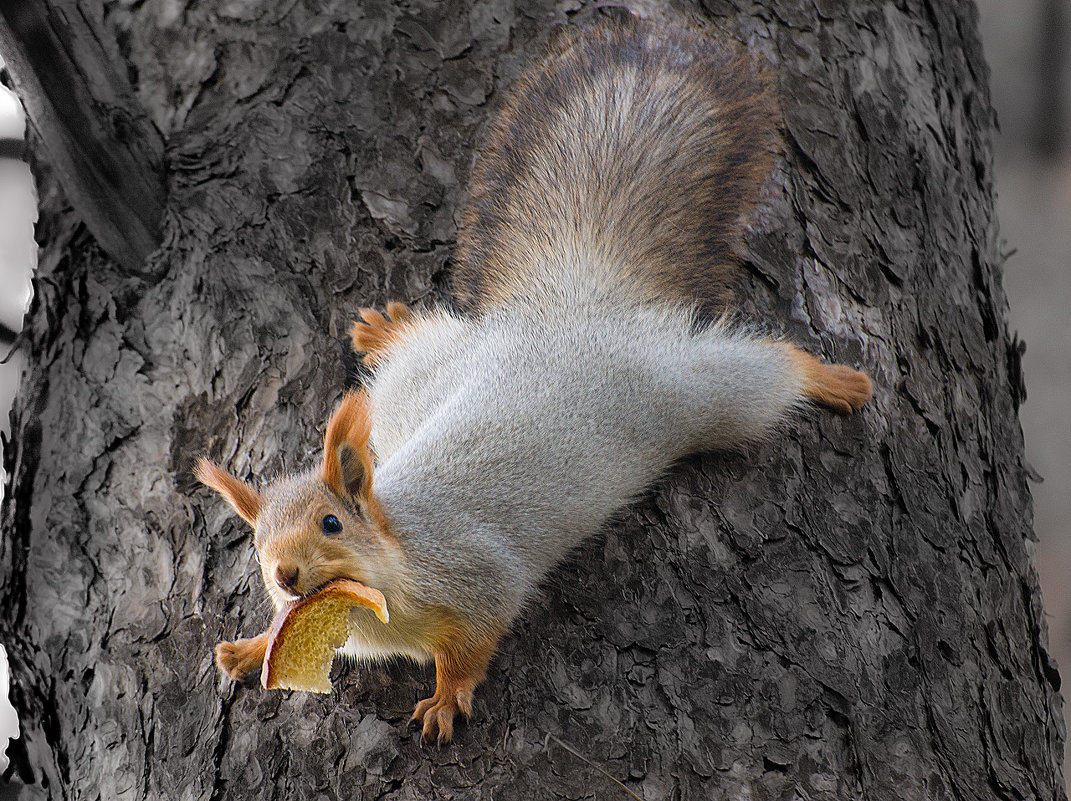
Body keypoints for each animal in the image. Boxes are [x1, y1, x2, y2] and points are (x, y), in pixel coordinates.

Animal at [197, 10, 873, 745]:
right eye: (257, 543)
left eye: (331, 523)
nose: (286, 573)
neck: (395, 553)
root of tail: (568, 318)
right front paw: (253, 645)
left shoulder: (479, 578)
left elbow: (473, 645)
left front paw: (445, 698)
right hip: (419, 381)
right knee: (416, 346)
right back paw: (382, 330)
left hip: (696, 393)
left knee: (768, 373)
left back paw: (833, 381)